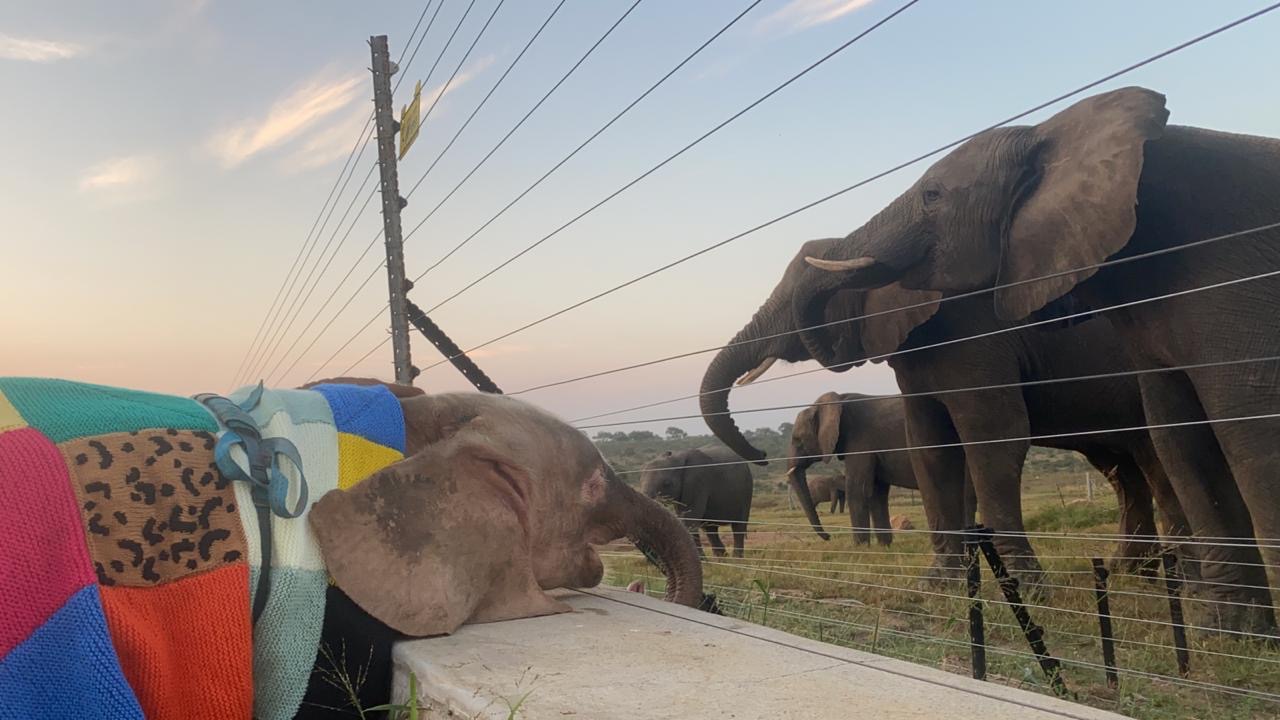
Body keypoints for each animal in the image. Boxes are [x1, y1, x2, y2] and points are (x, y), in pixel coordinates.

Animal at [770, 87, 1280, 633]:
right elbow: (931, 448)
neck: (1053, 130)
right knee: (1134, 463)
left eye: (932, 195)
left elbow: (994, 438)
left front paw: (1022, 593)